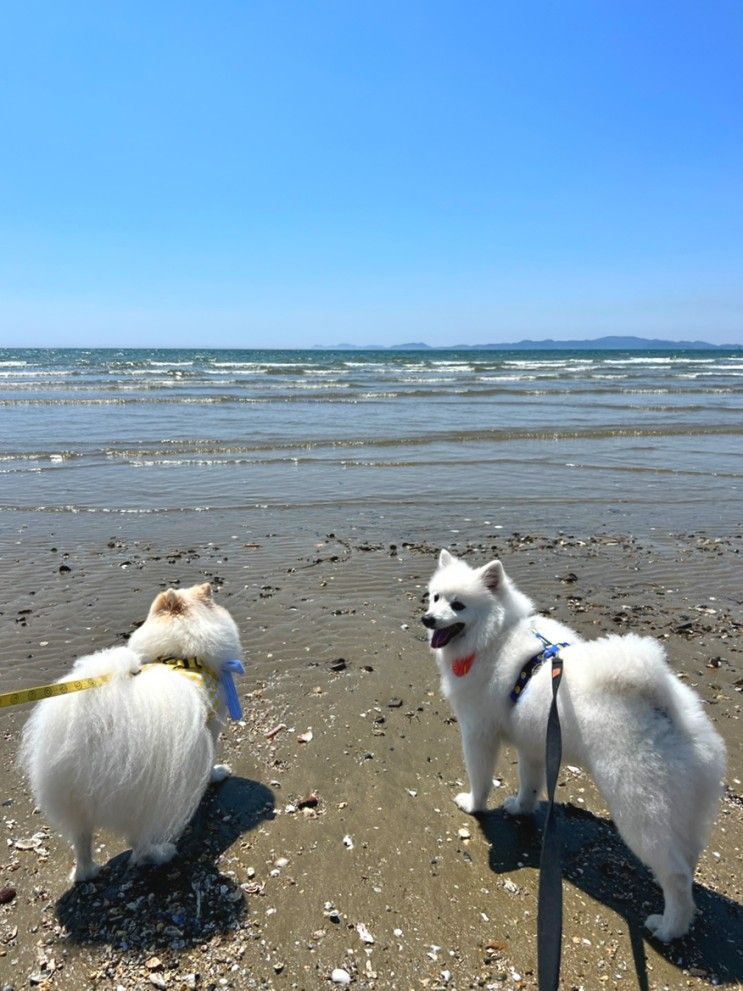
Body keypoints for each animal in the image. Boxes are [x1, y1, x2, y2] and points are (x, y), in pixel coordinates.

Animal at [20, 580, 243, 884]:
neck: (181, 654)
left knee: (81, 841)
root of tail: (98, 728)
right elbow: (210, 760)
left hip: (71, 801)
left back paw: (85, 872)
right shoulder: (211, 726)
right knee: (138, 843)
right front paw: (216, 774)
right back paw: (161, 853)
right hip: (143, 801)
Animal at [424, 556, 728, 940]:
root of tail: (664, 708)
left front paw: (473, 805)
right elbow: (530, 785)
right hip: (687, 810)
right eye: (435, 597)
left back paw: (668, 927)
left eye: (458, 605)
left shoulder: (478, 734)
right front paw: (520, 809)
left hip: (641, 813)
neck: (495, 637)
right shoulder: (534, 745)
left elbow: (480, 780)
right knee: (688, 863)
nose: (427, 619)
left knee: (675, 877)